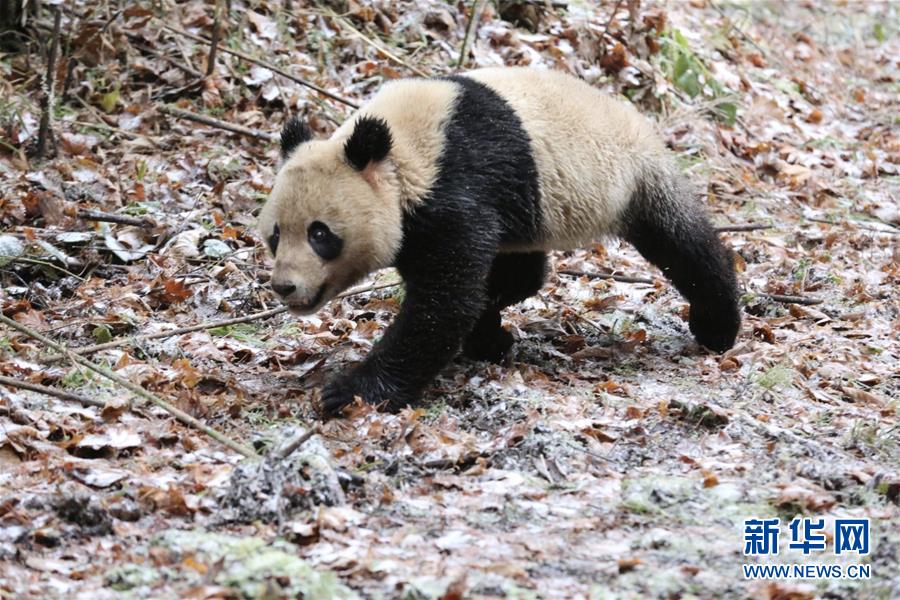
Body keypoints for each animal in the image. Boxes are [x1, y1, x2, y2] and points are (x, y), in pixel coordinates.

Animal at [258, 67, 740, 418]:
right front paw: (488, 338)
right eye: (275, 236)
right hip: (536, 209)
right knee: (525, 272)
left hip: (632, 178)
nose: (285, 286)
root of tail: (640, 121)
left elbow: (443, 303)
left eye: (320, 234)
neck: (403, 155)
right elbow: (458, 290)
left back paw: (717, 326)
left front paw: (349, 393)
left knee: (682, 243)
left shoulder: (457, 187)